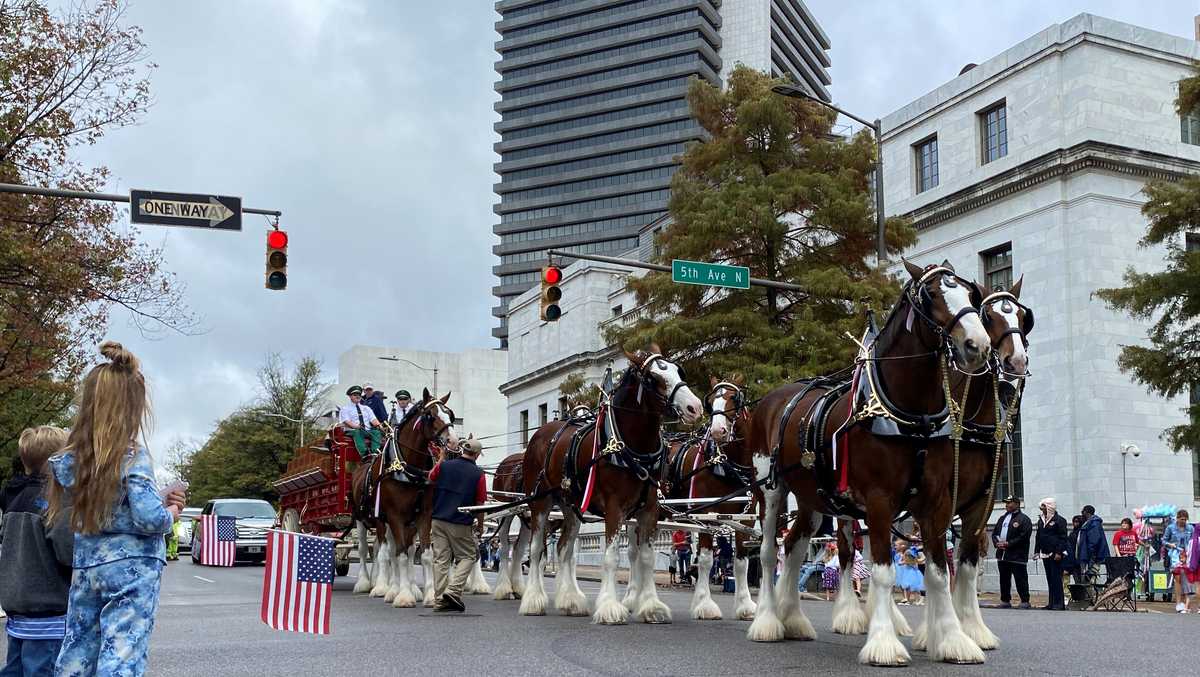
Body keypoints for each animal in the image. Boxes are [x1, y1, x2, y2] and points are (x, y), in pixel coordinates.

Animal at [350, 388, 458, 604]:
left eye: (450, 415)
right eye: (430, 415)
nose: (453, 441)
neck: (407, 469)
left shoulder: (423, 515)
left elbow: (423, 555)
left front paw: (429, 595)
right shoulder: (394, 515)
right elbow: (398, 555)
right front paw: (404, 595)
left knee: (390, 550)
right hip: (365, 519)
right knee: (370, 550)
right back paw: (371, 584)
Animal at [518, 348, 700, 624]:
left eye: (679, 371)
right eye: (653, 378)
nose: (695, 407)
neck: (632, 447)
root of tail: (541, 433)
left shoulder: (650, 509)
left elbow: (646, 558)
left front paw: (651, 606)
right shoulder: (614, 508)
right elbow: (612, 557)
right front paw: (610, 607)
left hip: (571, 506)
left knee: (564, 549)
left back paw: (570, 601)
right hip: (540, 501)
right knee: (537, 548)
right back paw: (533, 600)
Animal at [657, 379, 758, 619]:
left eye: (734, 398)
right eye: (711, 402)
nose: (718, 431)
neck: (726, 466)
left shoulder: (746, 518)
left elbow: (741, 562)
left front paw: (745, 605)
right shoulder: (705, 516)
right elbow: (705, 560)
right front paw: (704, 604)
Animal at [748, 260, 993, 667]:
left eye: (971, 294)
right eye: (932, 295)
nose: (978, 345)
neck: (910, 414)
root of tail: (774, 398)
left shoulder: (937, 501)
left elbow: (938, 572)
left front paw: (954, 640)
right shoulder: (880, 500)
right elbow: (882, 573)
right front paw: (883, 642)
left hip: (813, 498)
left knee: (795, 547)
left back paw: (793, 619)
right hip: (770, 489)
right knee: (769, 553)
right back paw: (767, 620)